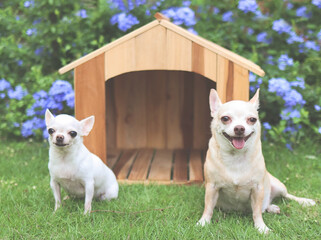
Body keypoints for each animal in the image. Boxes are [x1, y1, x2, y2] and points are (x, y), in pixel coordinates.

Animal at [198, 89, 316, 233]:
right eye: (225, 118)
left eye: (252, 119)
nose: (239, 128)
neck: (236, 156)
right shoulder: (212, 188)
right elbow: (208, 207)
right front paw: (203, 222)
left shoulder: (258, 189)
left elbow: (257, 212)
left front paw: (261, 227)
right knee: (266, 205)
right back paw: (272, 207)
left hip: (279, 186)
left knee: (284, 197)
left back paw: (304, 201)